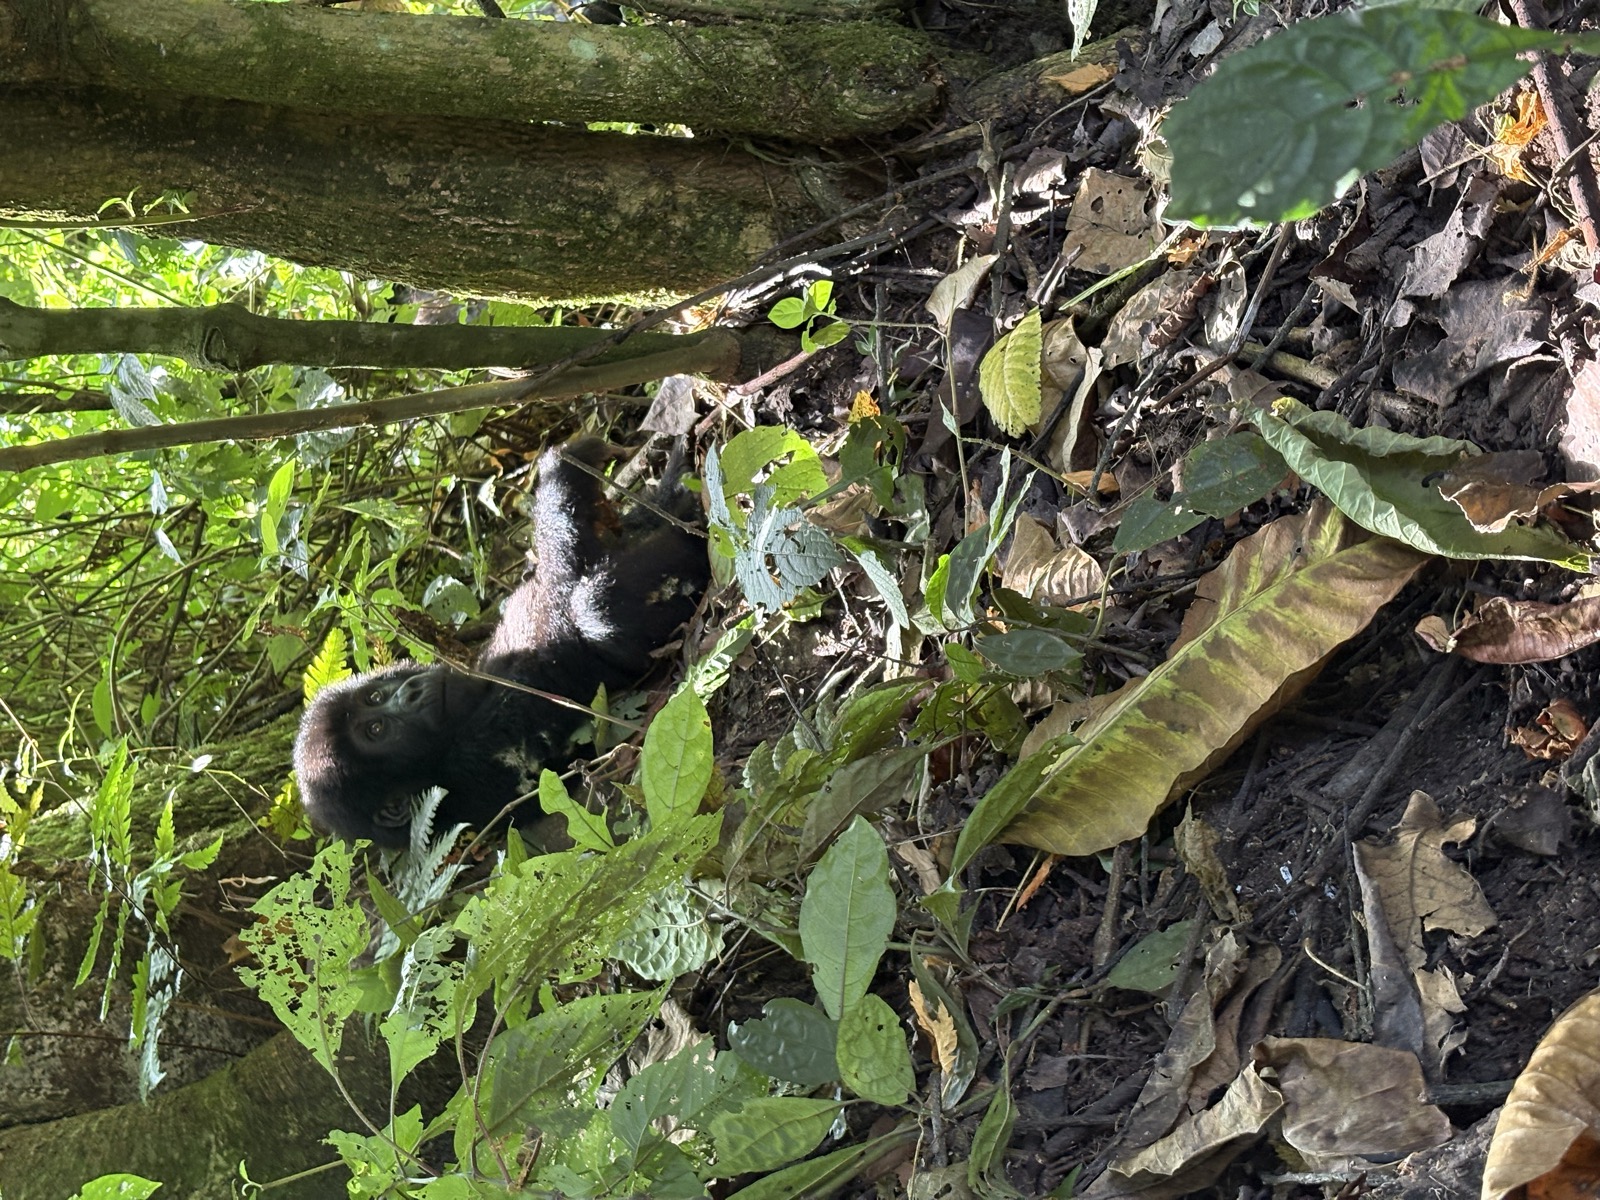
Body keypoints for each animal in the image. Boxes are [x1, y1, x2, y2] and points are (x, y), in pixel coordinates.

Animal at [292, 438, 707, 846]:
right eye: (377, 731)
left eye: (374, 698)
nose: (408, 692)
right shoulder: (481, 756)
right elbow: (558, 602)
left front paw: (573, 462)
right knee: (597, 610)